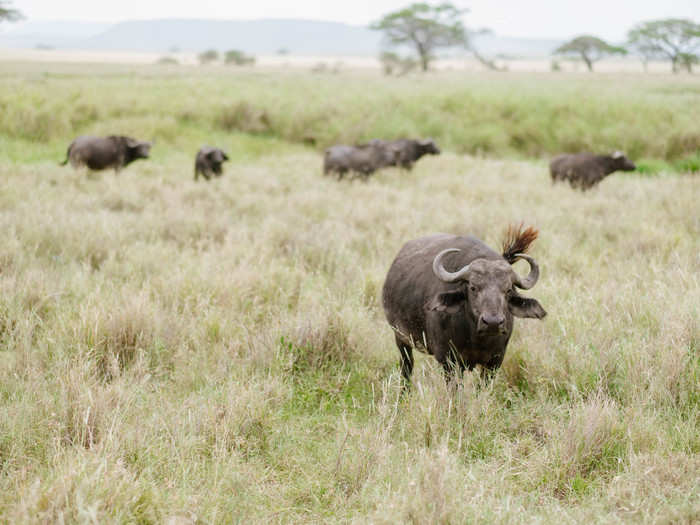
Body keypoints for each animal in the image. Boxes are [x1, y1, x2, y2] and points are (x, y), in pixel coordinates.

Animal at [382, 223, 548, 386]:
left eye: (508, 290)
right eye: (473, 287)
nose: (493, 322)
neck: (476, 338)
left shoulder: (495, 361)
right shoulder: (448, 360)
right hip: (400, 338)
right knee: (406, 367)